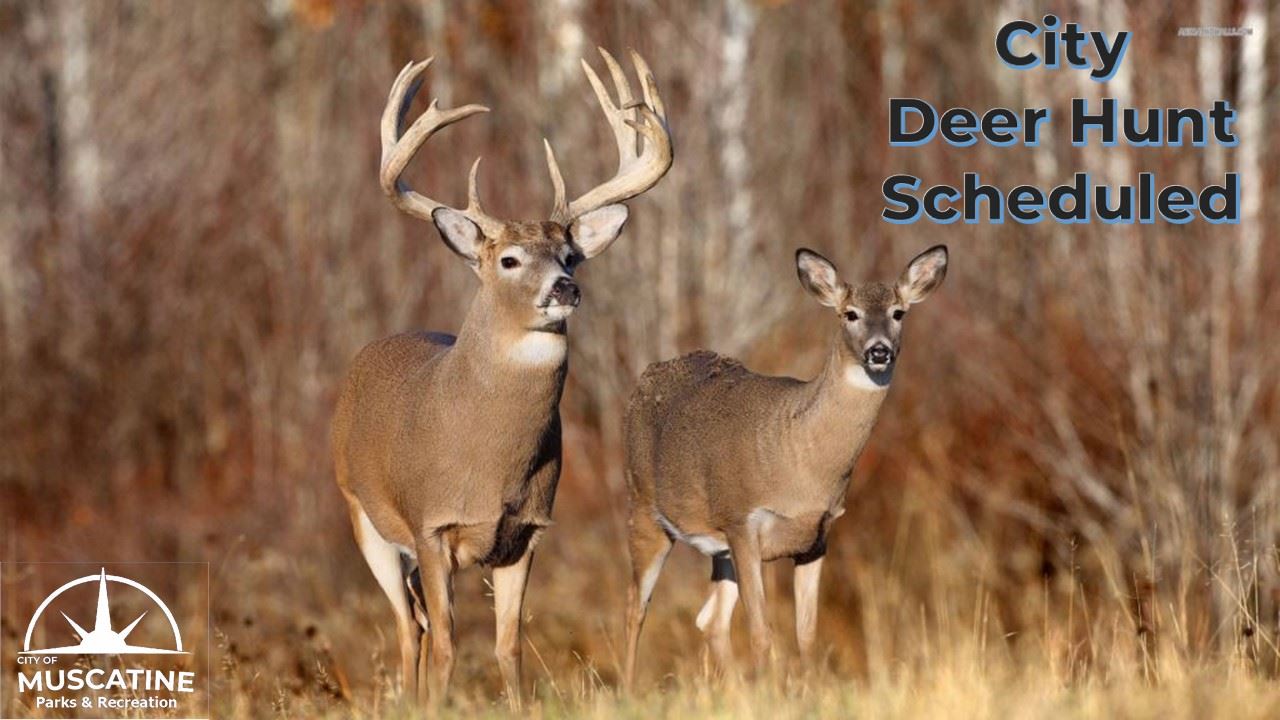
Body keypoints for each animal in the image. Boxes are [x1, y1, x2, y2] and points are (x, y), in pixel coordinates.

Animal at [332, 49, 671, 707]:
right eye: (509, 260)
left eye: (570, 256)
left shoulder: (527, 532)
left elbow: (508, 647)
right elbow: (447, 645)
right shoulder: (431, 524)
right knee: (408, 628)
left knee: (414, 622)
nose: (565, 288)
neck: (490, 465)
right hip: (364, 517)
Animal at [620, 245, 948, 687]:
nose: (879, 351)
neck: (801, 462)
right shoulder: (743, 521)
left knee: (710, 619)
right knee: (635, 606)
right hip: (644, 507)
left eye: (899, 312)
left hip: (718, 548)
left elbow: (805, 633)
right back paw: (627, 688)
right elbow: (762, 631)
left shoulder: (817, 537)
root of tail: (645, 377)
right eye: (850, 314)